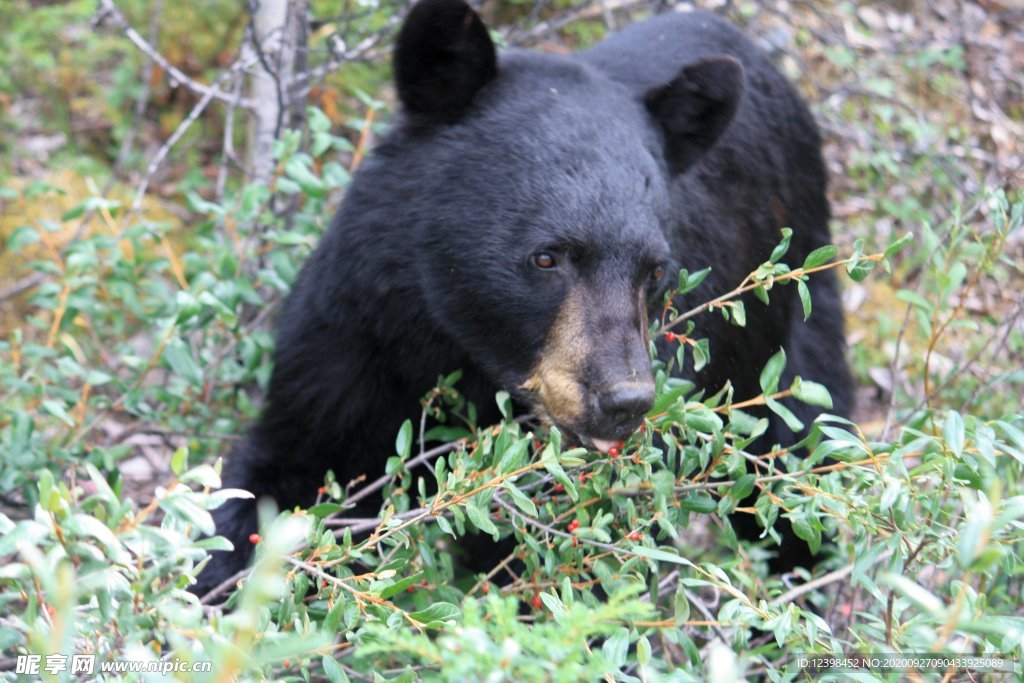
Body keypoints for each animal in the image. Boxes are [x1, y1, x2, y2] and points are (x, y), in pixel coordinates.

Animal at [190, 0, 847, 598]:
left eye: (655, 270)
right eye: (546, 257)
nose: (626, 400)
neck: (455, 348)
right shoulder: (352, 335)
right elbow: (277, 470)